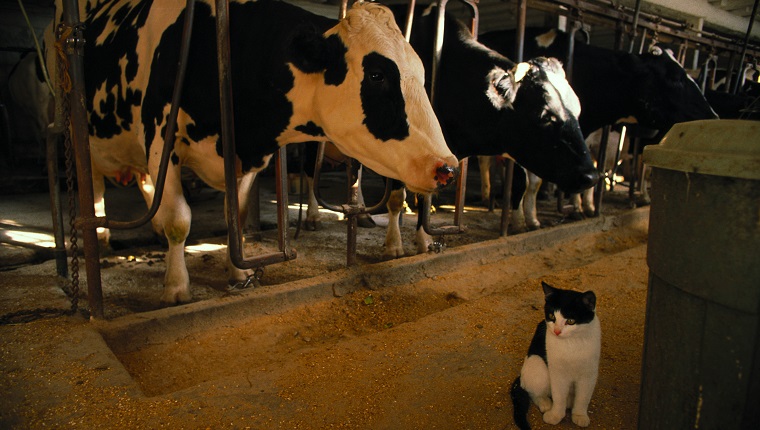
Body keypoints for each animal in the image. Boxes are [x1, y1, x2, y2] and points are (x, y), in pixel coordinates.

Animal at [56, 0, 458, 302]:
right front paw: (176, 288)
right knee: (96, 188)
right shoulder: (160, 138)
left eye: (423, 74)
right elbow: (179, 220)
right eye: (376, 74)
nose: (448, 168)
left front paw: (239, 273)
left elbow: (235, 213)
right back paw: (101, 240)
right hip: (78, 134)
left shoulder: (247, 156)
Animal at [512, 282, 604, 426]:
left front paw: (580, 415)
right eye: (551, 317)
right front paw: (555, 415)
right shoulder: (558, 373)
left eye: (571, 321)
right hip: (537, 365)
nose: (556, 331)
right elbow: (559, 396)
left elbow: (583, 398)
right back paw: (545, 403)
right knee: (532, 390)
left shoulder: (588, 374)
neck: (571, 344)